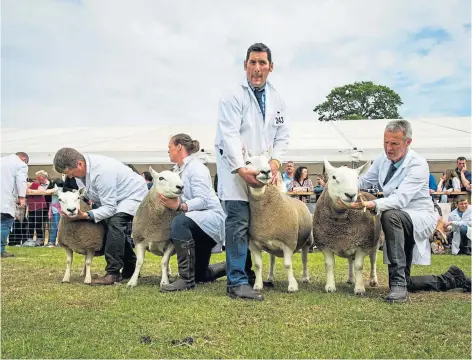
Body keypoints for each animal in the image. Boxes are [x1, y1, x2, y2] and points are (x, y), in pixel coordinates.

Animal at [243, 149, 314, 292]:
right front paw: (258, 285)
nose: (266, 171)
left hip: (307, 242)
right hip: (271, 246)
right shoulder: (254, 244)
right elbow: (258, 265)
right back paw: (270, 277)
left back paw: (305, 278)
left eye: (268, 161)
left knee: (304, 260)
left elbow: (287, 264)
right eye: (247, 162)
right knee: (272, 260)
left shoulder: (288, 242)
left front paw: (292, 286)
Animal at [314, 160, 384, 296]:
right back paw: (351, 279)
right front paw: (330, 286)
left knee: (373, 260)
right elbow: (329, 265)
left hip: (375, 242)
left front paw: (359, 288)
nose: (351, 195)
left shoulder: (363, 245)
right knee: (350, 260)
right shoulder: (325, 244)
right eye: (334, 177)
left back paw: (373, 280)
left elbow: (359, 266)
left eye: (357, 178)